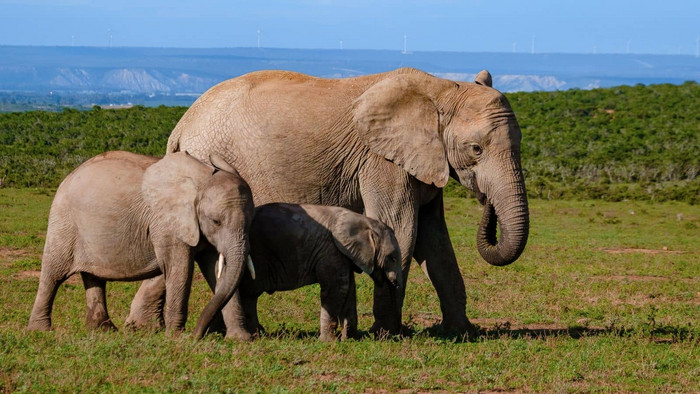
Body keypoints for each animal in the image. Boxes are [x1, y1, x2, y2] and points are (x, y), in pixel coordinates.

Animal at [30, 151, 256, 338]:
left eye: (250, 221)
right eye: (216, 221)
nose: (198, 334)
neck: (202, 177)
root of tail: (68, 176)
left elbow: (216, 269)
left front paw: (240, 340)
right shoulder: (166, 223)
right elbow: (180, 269)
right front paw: (176, 337)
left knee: (93, 277)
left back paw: (103, 330)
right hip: (63, 222)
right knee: (53, 273)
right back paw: (41, 330)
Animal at [228, 203, 402, 342]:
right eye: (392, 258)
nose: (391, 334)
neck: (364, 220)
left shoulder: (343, 254)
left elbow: (349, 290)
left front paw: (351, 339)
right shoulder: (332, 250)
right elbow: (337, 289)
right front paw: (329, 341)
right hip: (257, 255)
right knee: (249, 293)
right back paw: (255, 334)